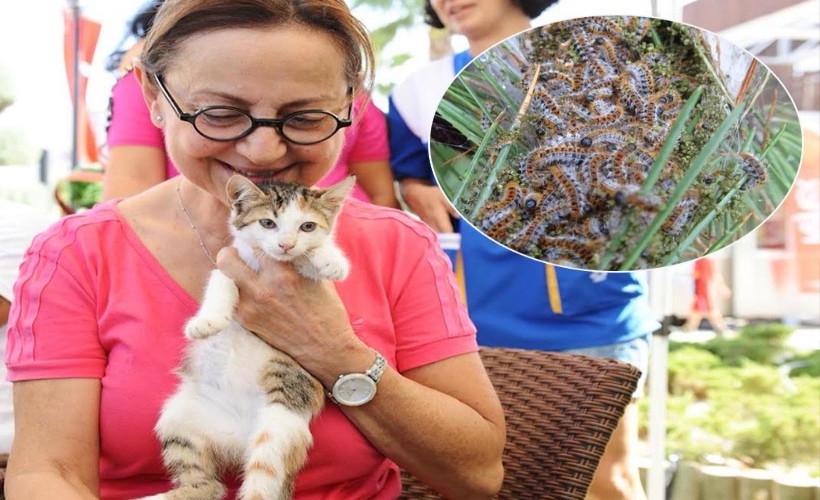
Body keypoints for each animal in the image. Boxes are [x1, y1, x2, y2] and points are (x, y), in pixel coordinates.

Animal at [143, 175, 352, 500]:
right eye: (267, 223)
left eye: (307, 226)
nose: (285, 244)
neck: (269, 263)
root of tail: (240, 440)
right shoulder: (231, 263)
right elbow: (221, 281)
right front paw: (207, 321)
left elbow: (309, 256)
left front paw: (330, 259)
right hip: (178, 417)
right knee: (209, 487)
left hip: (279, 427)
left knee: (261, 481)